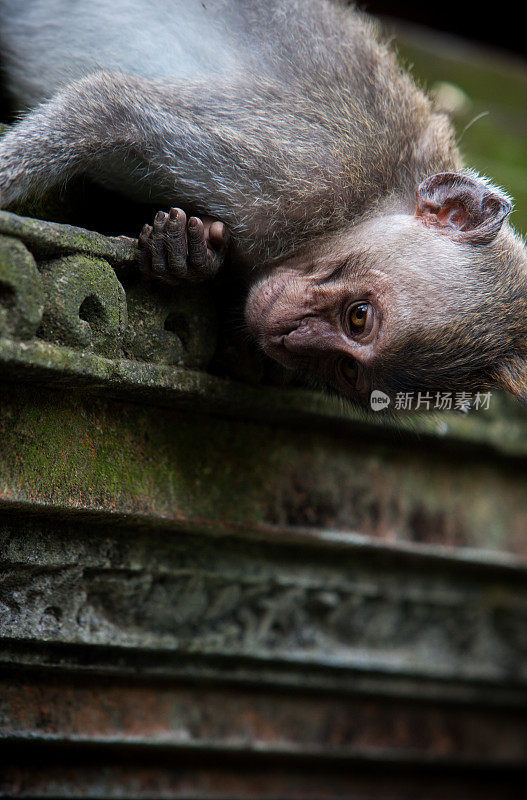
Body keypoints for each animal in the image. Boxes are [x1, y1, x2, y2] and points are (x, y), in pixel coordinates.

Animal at [0, 0, 524, 406]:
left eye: (347, 371)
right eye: (360, 317)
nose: (283, 339)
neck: (367, 202)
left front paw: (185, 252)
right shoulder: (306, 170)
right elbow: (109, 105)